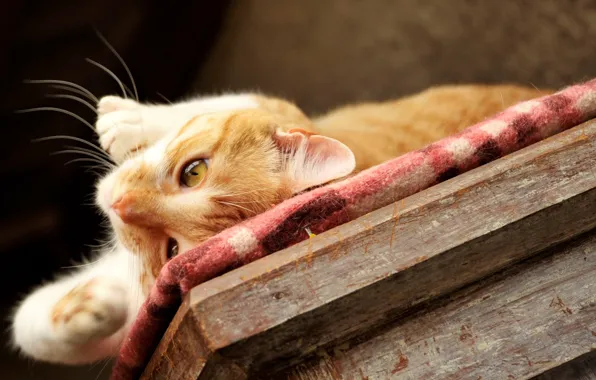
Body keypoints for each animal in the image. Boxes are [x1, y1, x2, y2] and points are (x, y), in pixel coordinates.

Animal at [9, 84, 552, 366]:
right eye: (194, 172)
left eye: (173, 252)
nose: (120, 204)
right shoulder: (294, 113)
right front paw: (131, 121)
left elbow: (28, 323)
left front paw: (93, 306)